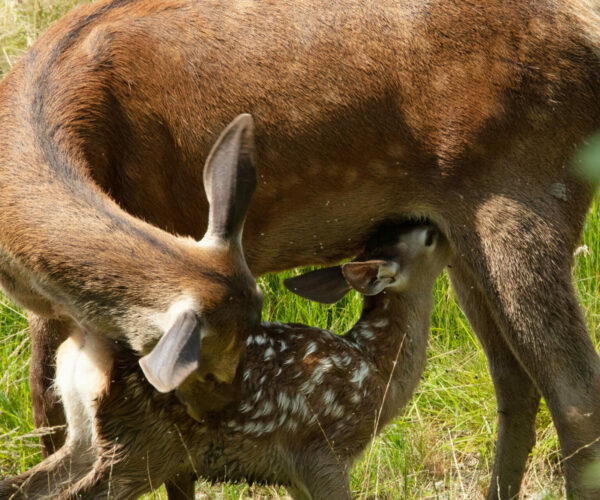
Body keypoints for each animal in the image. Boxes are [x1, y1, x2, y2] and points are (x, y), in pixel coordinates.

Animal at [1, 0, 600, 498]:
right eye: (212, 365)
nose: (223, 414)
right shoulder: (52, 311)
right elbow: (48, 421)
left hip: (525, 193)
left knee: (575, 397)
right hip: (465, 237)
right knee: (516, 382)